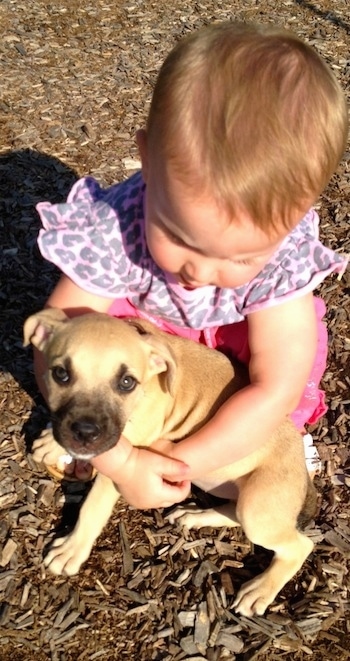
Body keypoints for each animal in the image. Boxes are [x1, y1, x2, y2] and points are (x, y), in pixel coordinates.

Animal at [23, 310, 316, 620]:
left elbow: (92, 507)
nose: (85, 433)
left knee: (299, 546)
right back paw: (195, 515)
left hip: (257, 508)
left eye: (126, 382)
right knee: (234, 511)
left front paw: (72, 549)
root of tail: (302, 467)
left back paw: (260, 589)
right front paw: (53, 444)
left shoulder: (122, 460)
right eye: (60, 374)